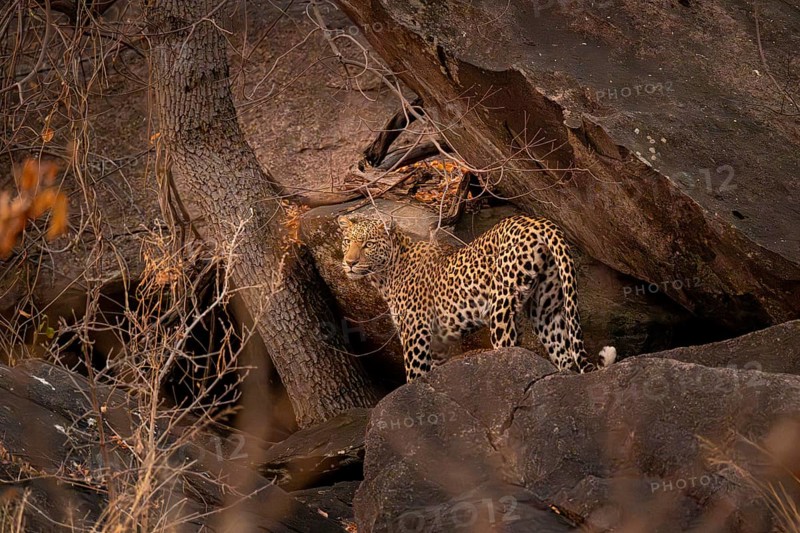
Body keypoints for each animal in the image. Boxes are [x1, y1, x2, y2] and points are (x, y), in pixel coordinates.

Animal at [338, 214, 617, 382]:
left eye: (368, 244)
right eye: (347, 241)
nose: (349, 263)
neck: (385, 275)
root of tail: (539, 221)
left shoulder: (415, 334)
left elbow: (415, 378)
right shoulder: (438, 344)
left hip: (501, 306)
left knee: (510, 351)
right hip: (546, 309)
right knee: (565, 357)